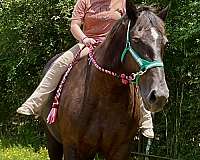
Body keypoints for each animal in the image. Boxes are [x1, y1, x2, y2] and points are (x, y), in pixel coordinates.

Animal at [40, 1, 169, 160]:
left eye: (165, 43)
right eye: (136, 40)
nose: (159, 96)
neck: (104, 96)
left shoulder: (120, 150)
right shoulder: (72, 147)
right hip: (53, 140)